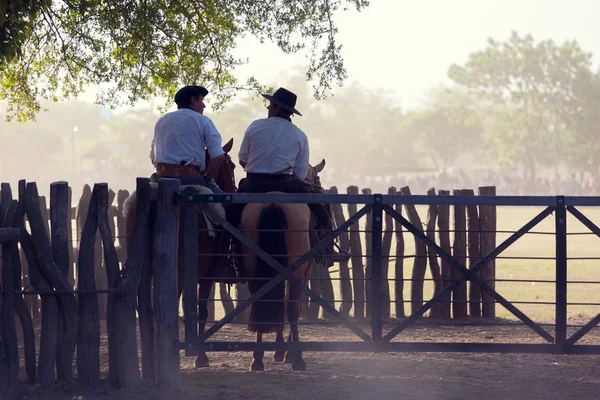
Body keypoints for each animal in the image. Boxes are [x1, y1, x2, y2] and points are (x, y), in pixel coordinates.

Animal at [124, 138, 237, 368]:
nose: (234, 189)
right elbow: (200, 312)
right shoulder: (204, 277)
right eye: (232, 166)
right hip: (178, 273)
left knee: (148, 310)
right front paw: (201, 357)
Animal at [237, 159, 326, 372]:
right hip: (296, 270)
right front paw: (285, 352)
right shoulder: (305, 270)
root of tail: (273, 203)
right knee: (292, 308)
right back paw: (297, 359)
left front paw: (279, 350)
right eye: (317, 178)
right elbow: (294, 306)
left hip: (253, 266)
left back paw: (257, 359)